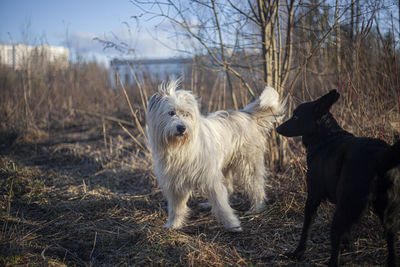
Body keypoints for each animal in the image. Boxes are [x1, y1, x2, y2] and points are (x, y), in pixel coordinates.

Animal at [147, 80, 284, 232]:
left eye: (187, 114)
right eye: (171, 113)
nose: (182, 128)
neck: (179, 148)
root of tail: (246, 113)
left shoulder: (210, 178)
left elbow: (220, 203)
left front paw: (232, 224)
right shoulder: (174, 183)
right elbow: (176, 208)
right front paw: (173, 225)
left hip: (248, 164)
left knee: (255, 186)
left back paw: (257, 208)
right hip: (225, 165)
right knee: (228, 188)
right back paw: (208, 204)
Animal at [276, 90, 398, 267]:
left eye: (296, 117)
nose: (277, 128)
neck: (326, 137)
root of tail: (382, 156)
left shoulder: (313, 197)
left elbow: (306, 228)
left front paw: (297, 253)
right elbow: (346, 234)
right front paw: (347, 248)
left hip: (346, 205)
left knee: (335, 237)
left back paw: (331, 261)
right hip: (385, 211)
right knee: (391, 240)